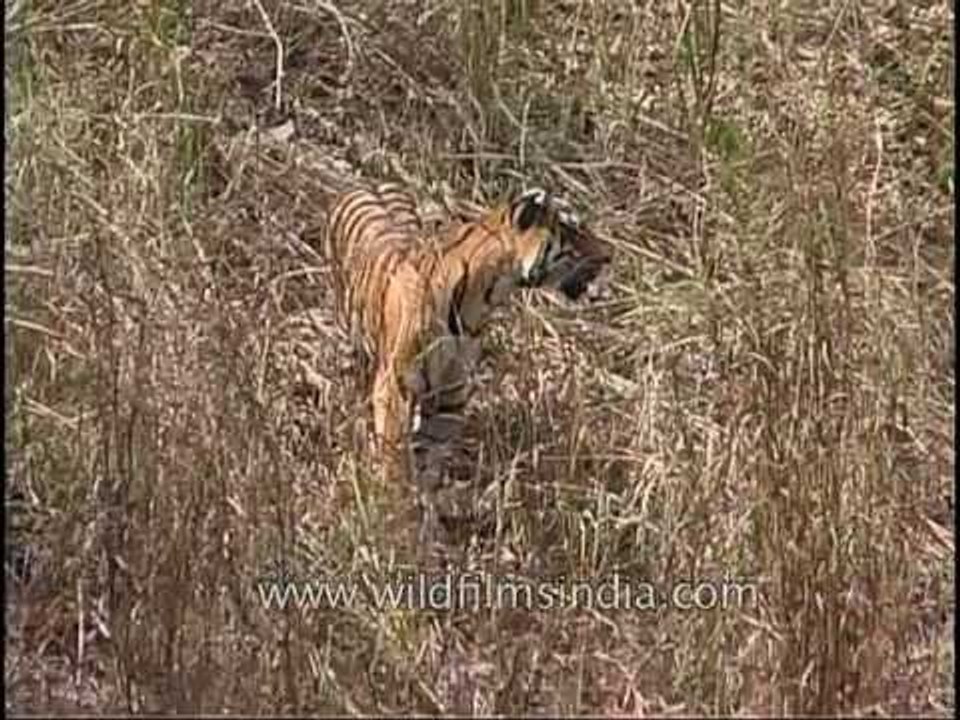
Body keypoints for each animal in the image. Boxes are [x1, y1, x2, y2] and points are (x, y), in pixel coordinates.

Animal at [322, 182, 612, 493]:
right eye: (573, 231)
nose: (609, 255)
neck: (483, 297)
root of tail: (365, 184)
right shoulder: (396, 387)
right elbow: (395, 458)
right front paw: (392, 499)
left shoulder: (451, 391)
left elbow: (430, 457)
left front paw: (426, 500)